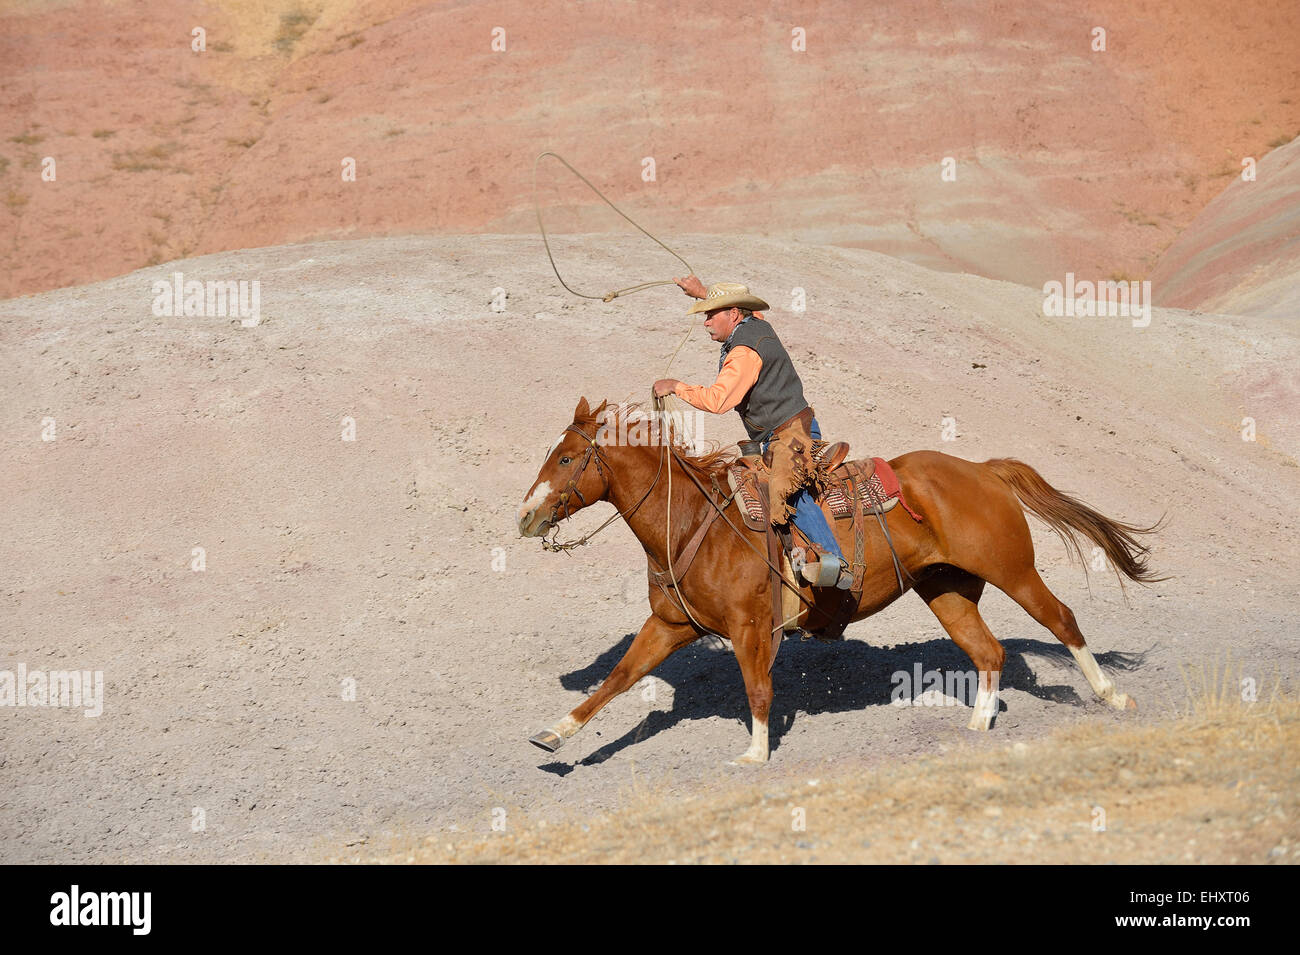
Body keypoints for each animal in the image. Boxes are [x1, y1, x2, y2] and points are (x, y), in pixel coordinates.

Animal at [512, 394, 1164, 764]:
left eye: (566, 459)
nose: (525, 516)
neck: (693, 522)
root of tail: (982, 469)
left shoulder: (751, 628)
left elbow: (757, 689)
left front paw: (755, 754)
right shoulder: (670, 624)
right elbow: (618, 679)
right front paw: (554, 734)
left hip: (1013, 570)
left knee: (1062, 620)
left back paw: (1113, 696)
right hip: (947, 589)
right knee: (988, 650)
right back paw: (980, 721)